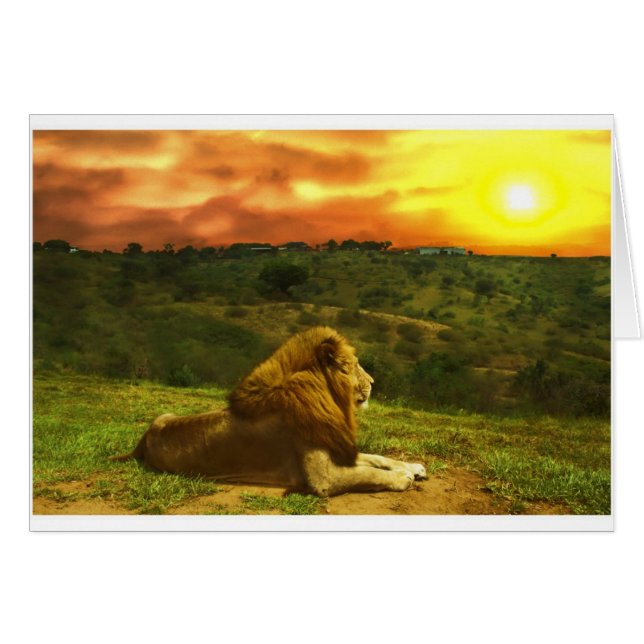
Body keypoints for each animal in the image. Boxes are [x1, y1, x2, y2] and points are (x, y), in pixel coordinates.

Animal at [110, 326, 426, 496]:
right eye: (355, 366)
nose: (373, 382)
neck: (327, 398)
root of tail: (144, 439)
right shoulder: (323, 479)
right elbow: (368, 473)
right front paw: (403, 477)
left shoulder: (336, 446)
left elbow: (376, 459)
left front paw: (412, 466)